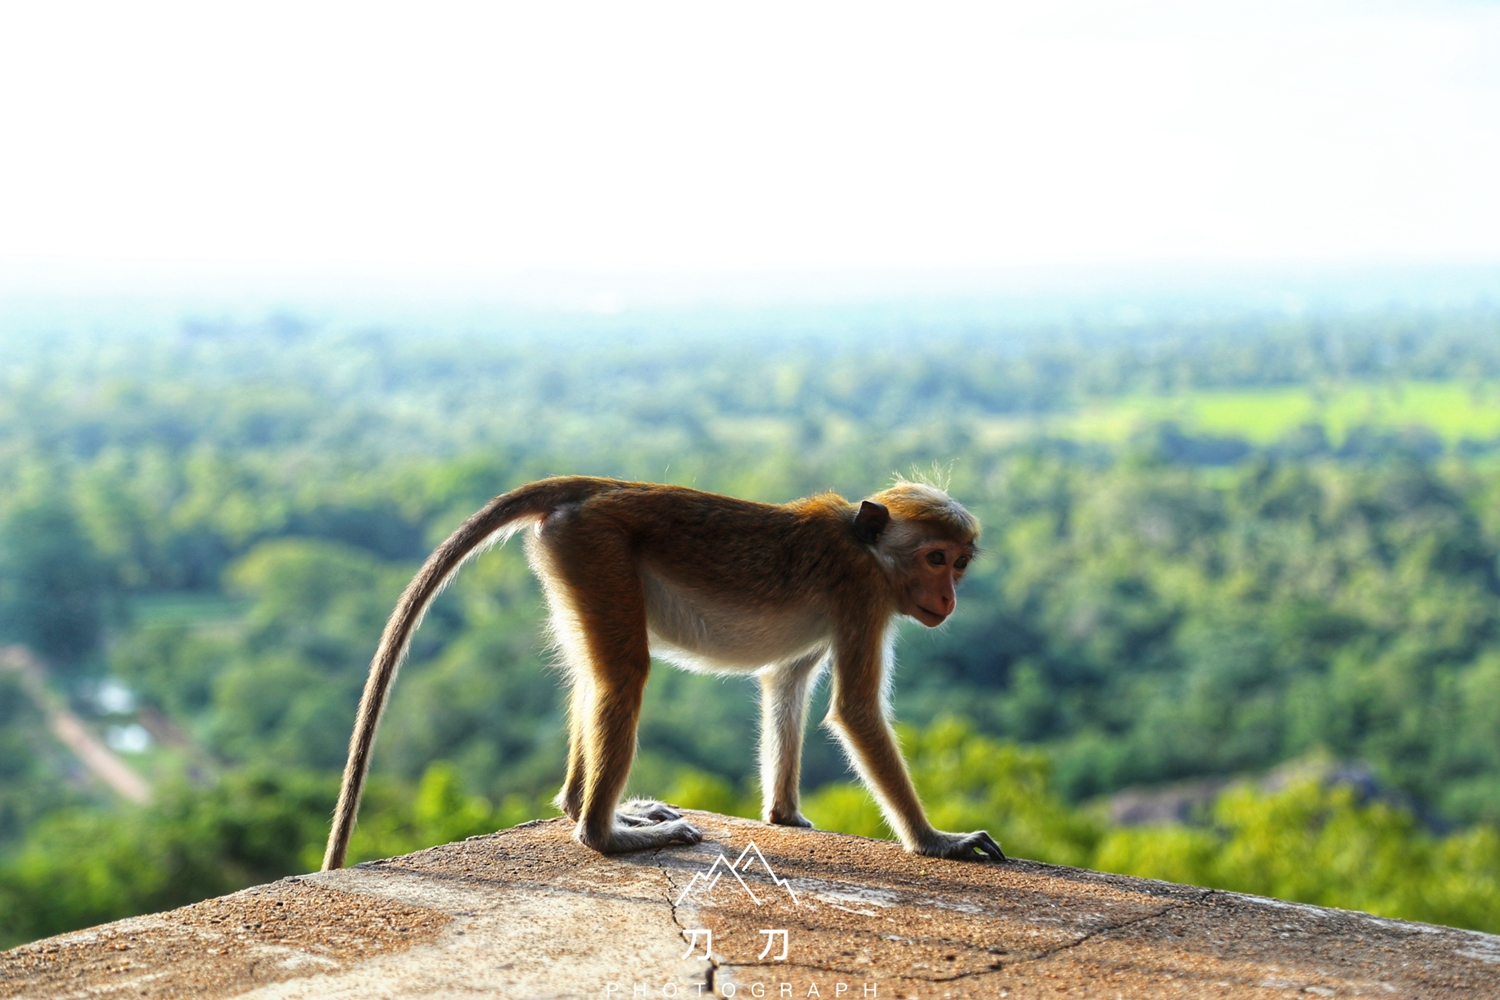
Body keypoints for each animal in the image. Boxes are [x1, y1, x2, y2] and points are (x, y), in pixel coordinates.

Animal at [321, 476, 1002, 869]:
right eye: (934, 558)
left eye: (959, 564)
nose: (948, 599)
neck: (864, 547)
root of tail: (591, 489)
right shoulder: (862, 594)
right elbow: (855, 711)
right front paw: (936, 841)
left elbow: (786, 683)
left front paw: (784, 815)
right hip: (597, 548)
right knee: (623, 675)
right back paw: (605, 834)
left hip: (574, 560)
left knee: (594, 673)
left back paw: (587, 807)